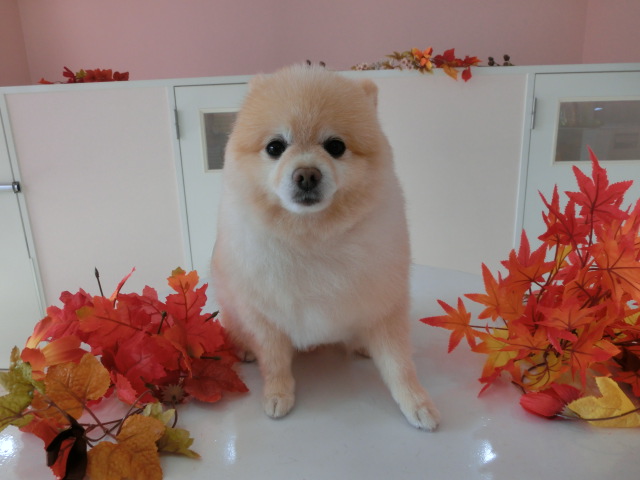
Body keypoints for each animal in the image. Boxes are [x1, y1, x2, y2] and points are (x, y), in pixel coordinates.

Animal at [211, 65, 440, 430]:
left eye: (335, 146)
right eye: (275, 147)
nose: (306, 174)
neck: (311, 236)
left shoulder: (384, 302)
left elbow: (399, 364)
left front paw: (416, 403)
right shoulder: (264, 313)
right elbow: (274, 361)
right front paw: (277, 393)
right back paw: (244, 348)